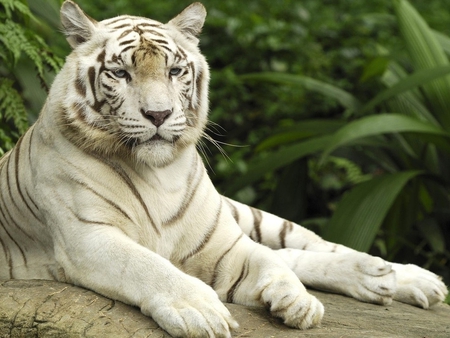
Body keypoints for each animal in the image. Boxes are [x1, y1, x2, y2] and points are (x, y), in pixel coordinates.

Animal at [0, 1, 446, 336]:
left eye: (174, 71)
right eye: (121, 73)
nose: (159, 114)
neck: (158, 174)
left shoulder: (221, 244)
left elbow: (267, 261)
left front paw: (298, 302)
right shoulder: (89, 239)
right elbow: (148, 266)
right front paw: (203, 311)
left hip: (243, 214)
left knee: (299, 245)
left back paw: (396, 275)